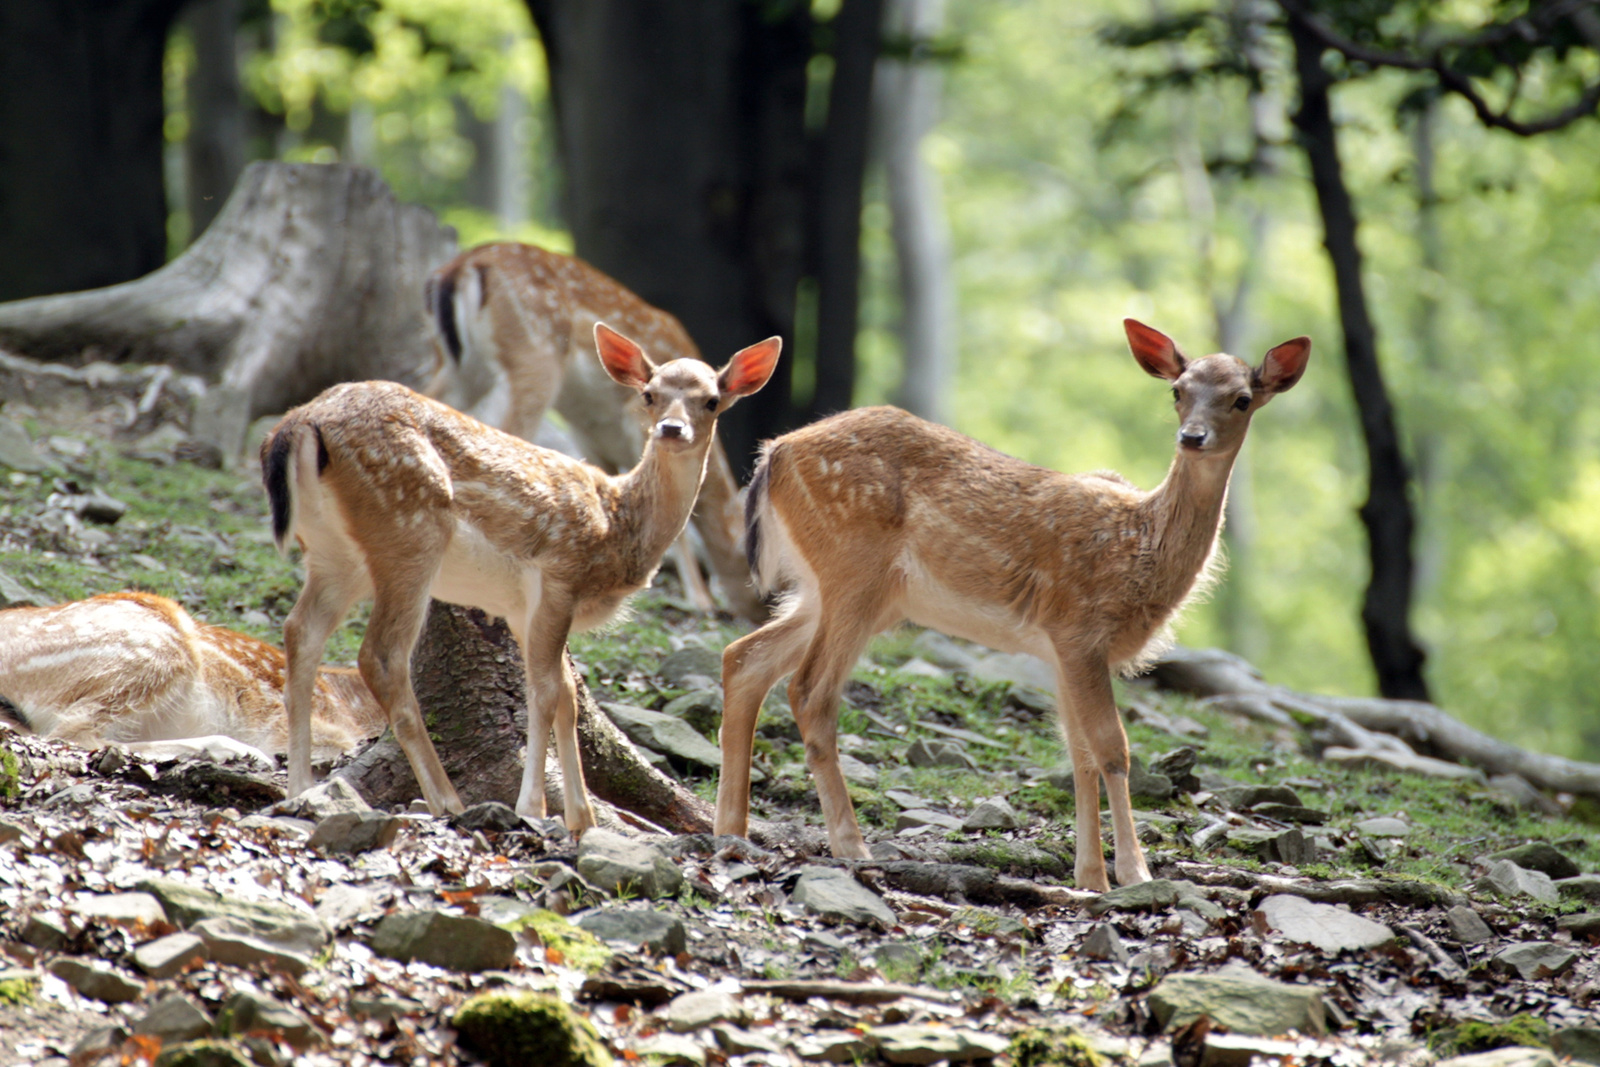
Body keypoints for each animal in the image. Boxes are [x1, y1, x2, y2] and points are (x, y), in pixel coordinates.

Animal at [264, 323, 780, 825]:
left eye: (711, 400)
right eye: (649, 394)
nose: (672, 429)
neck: (618, 523)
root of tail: (299, 422)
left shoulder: (518, 607)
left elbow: (568, 695)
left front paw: (582, 818)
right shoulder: (560, 574)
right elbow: (546, 691)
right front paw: (533, 808)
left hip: (334, 553)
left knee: (299, 631)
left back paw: (300, 788)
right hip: (408, 530)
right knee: (381, 657)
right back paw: (447, 800)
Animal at [425, 243, 761, 620]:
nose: (765, 612)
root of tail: (462, 264)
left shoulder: (589, 435)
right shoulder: (632, 419)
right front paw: (700, 600)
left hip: (459, 366)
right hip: (535, 355)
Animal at [716, 321, 1312, 889]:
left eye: (1241, 399)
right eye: (1178, 391)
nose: (1192, 437)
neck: (1140, 548)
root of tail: (774, 453)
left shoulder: (1061, 650)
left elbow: (1078, 754)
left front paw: (1090, 876)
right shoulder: (1079, 629)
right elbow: (1112, 748)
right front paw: (1134, 873)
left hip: (846, 591)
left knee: (744, 657)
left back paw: (731, 827)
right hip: (853, 569)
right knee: (809, 690)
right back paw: (851, 844)